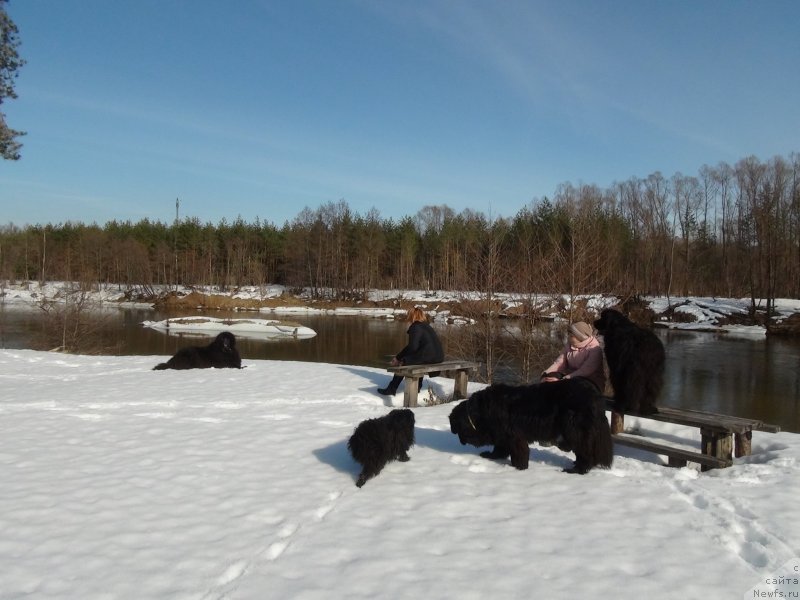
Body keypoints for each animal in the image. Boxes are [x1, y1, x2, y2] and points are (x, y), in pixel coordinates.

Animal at [450, 380, 612, 474]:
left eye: (457, 430)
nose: (460, 442)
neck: (480, 413)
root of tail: (595, 393)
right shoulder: (502, 434)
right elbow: (500, 448)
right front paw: (492, 456)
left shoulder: (513, 435)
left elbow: (518, 452)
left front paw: (518, 467)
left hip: (574, 429)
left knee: (585, 452)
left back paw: (577, 469)